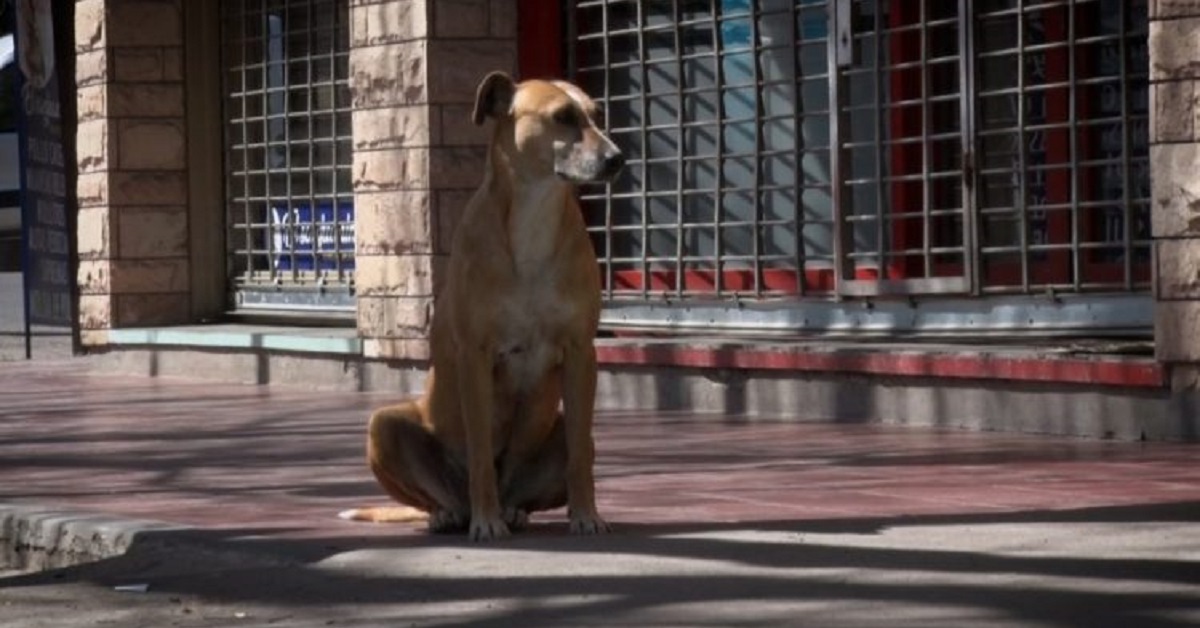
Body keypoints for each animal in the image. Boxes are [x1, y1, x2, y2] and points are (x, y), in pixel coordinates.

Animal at [338, 73, 624, 542]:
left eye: (597, 114)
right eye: (563, 117)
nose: (616, 158)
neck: (533, 216)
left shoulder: (582, 354)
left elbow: (580, 454)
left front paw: (586, 514)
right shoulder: (475, 356)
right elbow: (478, 454)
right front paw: (486, 523)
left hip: (558, 432)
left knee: (557, 461)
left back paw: (513, 511)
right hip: (383, 425)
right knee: (439, 494)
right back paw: (452, 514)